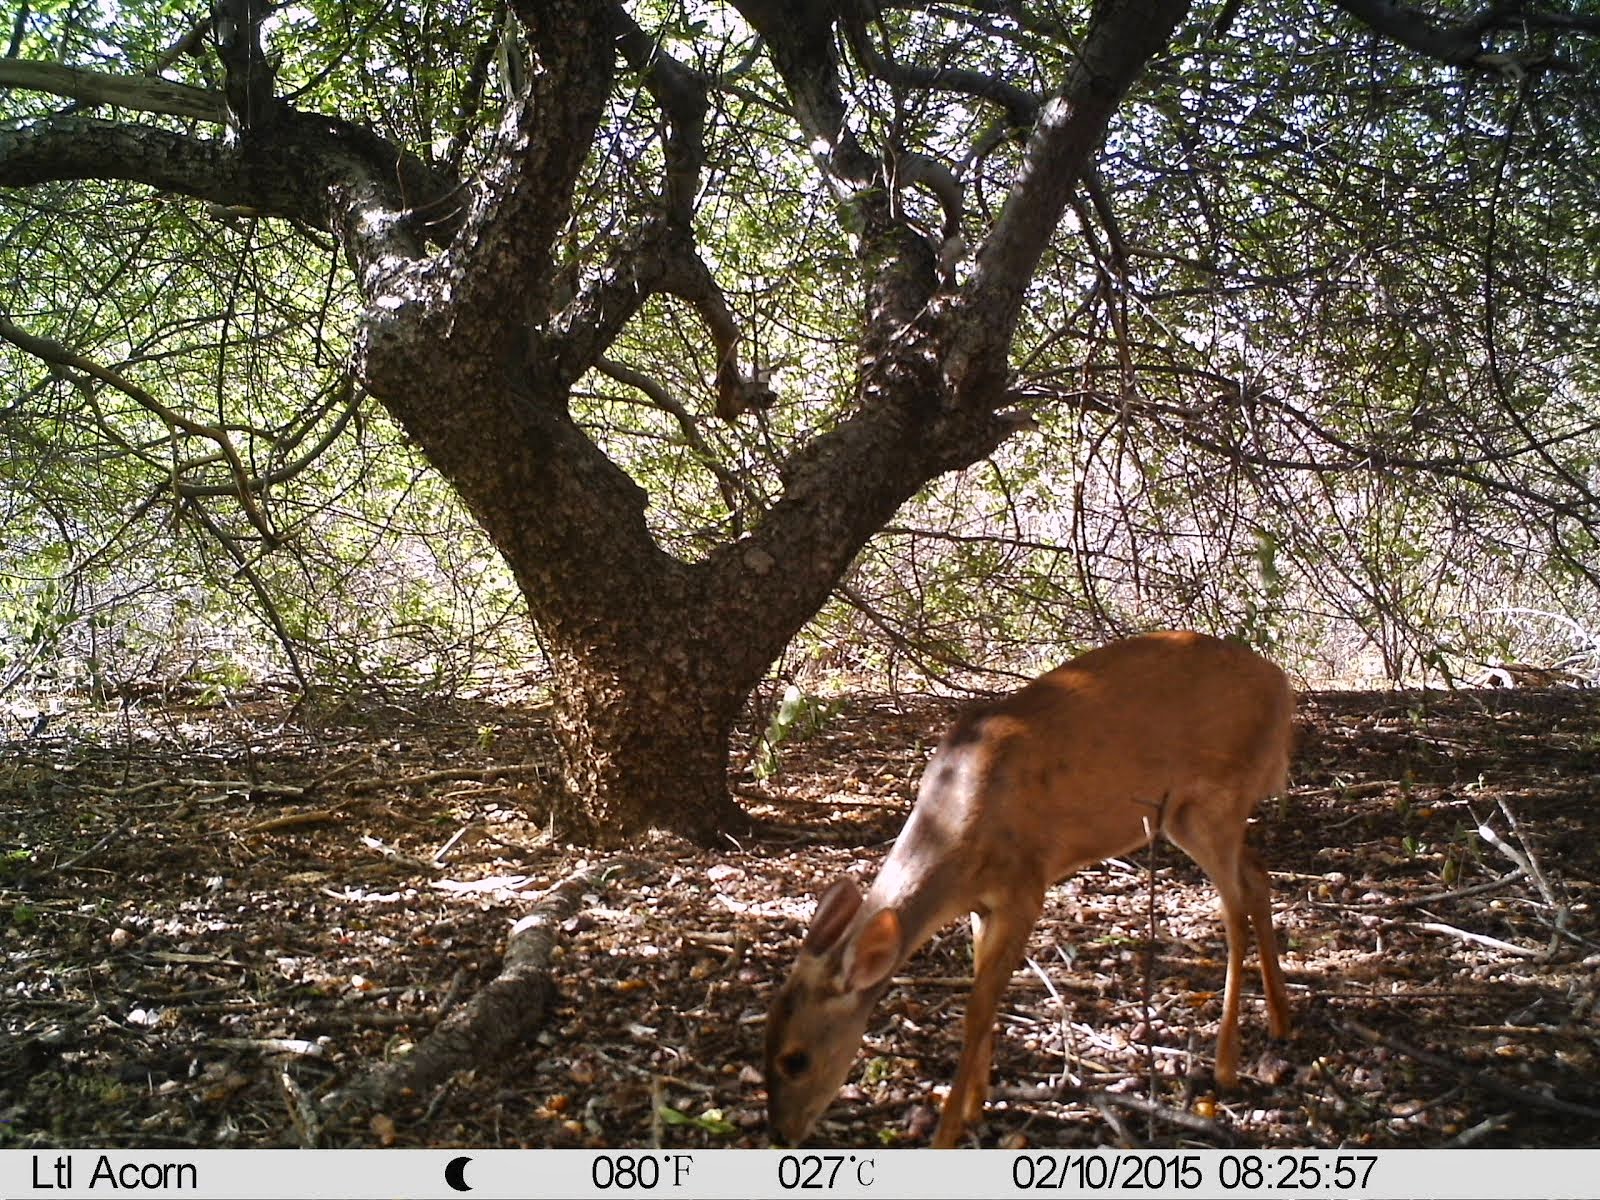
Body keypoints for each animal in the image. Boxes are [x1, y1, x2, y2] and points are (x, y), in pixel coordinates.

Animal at [764, 630, 1299, 1145]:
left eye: (796, 1059)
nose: (782, 1133)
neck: (960, 831)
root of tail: (1282, 686)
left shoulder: (1026, 888)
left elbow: (978, 1008)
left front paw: (949, 1131)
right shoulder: (981, 905)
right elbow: (982, 990)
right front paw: (976, 1103)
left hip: (1216, 798)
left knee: (1233, 911)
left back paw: (1226, 1066)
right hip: (1184, 816)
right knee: (1256, 876)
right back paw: (1280, 1023)